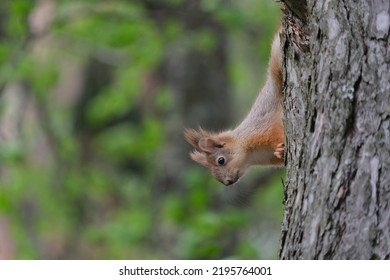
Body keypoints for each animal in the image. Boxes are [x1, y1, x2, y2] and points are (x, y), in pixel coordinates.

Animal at [184, 30, 284, 185]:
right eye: (213, 174)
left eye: (221, 160)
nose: (228, 182)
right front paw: (280, 153)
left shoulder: (265, 130)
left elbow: (279, 133)